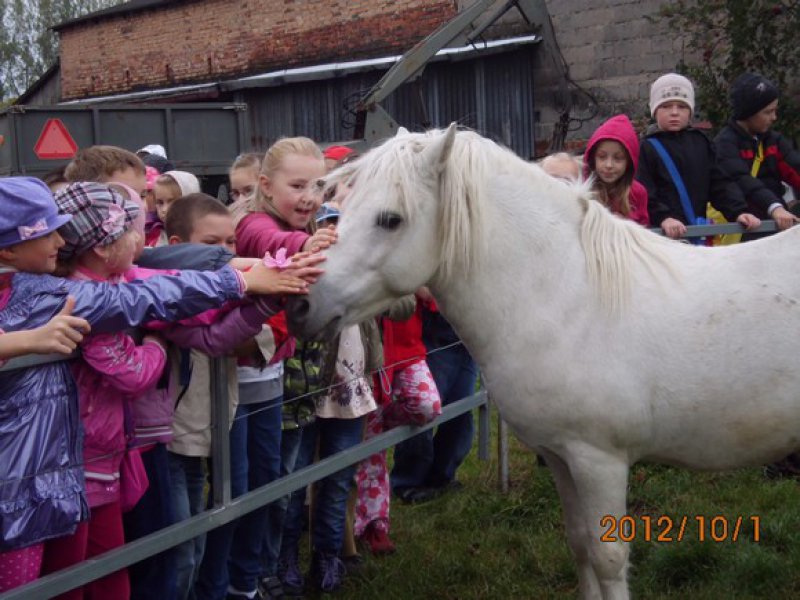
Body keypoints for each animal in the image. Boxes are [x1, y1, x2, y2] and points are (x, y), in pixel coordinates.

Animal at [286, 124, 800, 596]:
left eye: (390, 219)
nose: (299, 304)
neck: (569, 297)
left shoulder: (599, 461)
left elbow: (608, 557)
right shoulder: (559, 455)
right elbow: (579, 545)